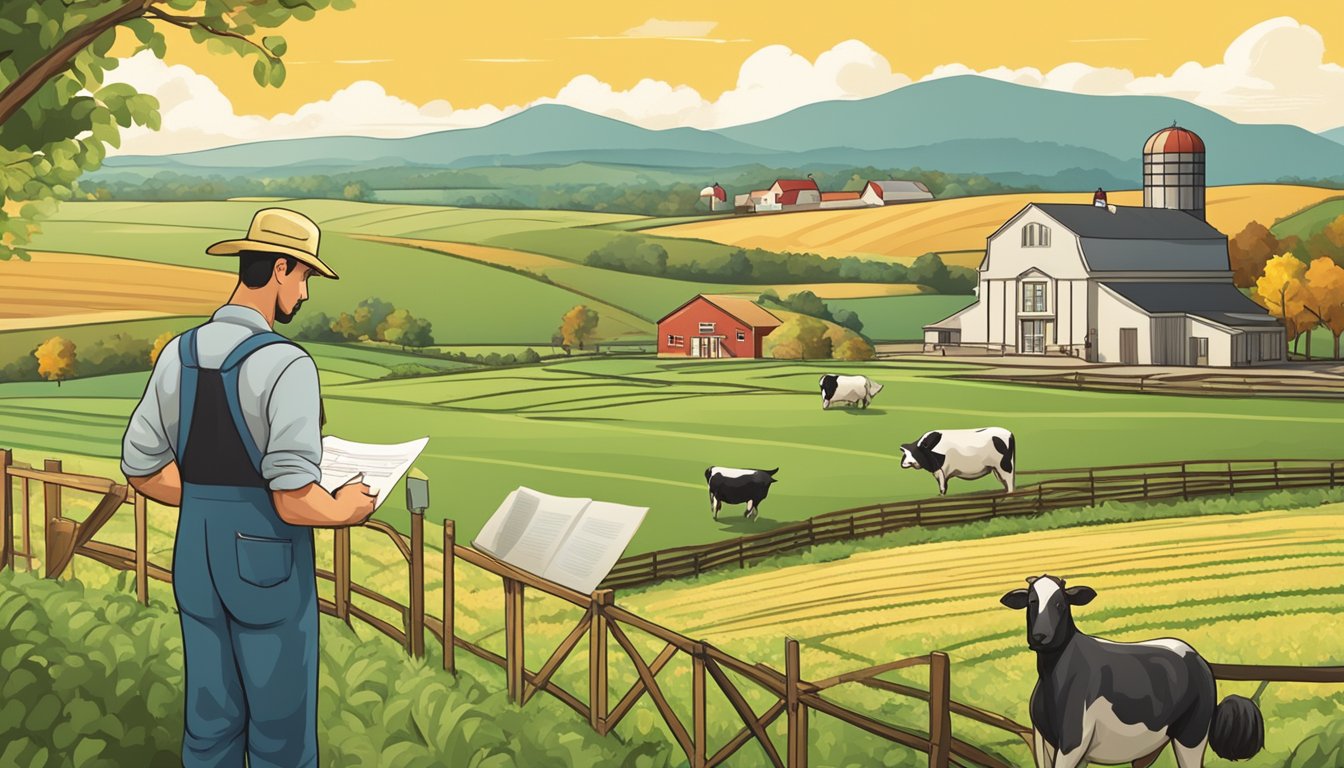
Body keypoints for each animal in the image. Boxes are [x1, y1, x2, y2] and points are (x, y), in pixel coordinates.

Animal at [1005, 575, 1263, 768]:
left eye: (1060, 603)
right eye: (1031, 601)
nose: (1040, 636)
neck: (1054, 678)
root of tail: (1200, 659)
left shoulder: (1072, 741)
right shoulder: (1044, 740)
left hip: (1193, 734)